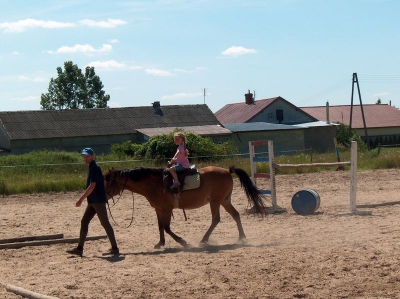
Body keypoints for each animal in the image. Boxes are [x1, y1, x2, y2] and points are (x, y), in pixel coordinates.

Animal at [103, 165, 266, 250]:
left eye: (108, 182)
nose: (103, 196)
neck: (155, 184)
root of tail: (227, 170)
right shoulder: (158, 209)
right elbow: (160, 227)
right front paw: (160, 243)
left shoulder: (167, 209)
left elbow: (167, 227)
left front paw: (182, 241)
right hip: (225, 201)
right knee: (236, 215)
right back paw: (241, 238)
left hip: (215, 202)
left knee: (216, 219)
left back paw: (204, 240)